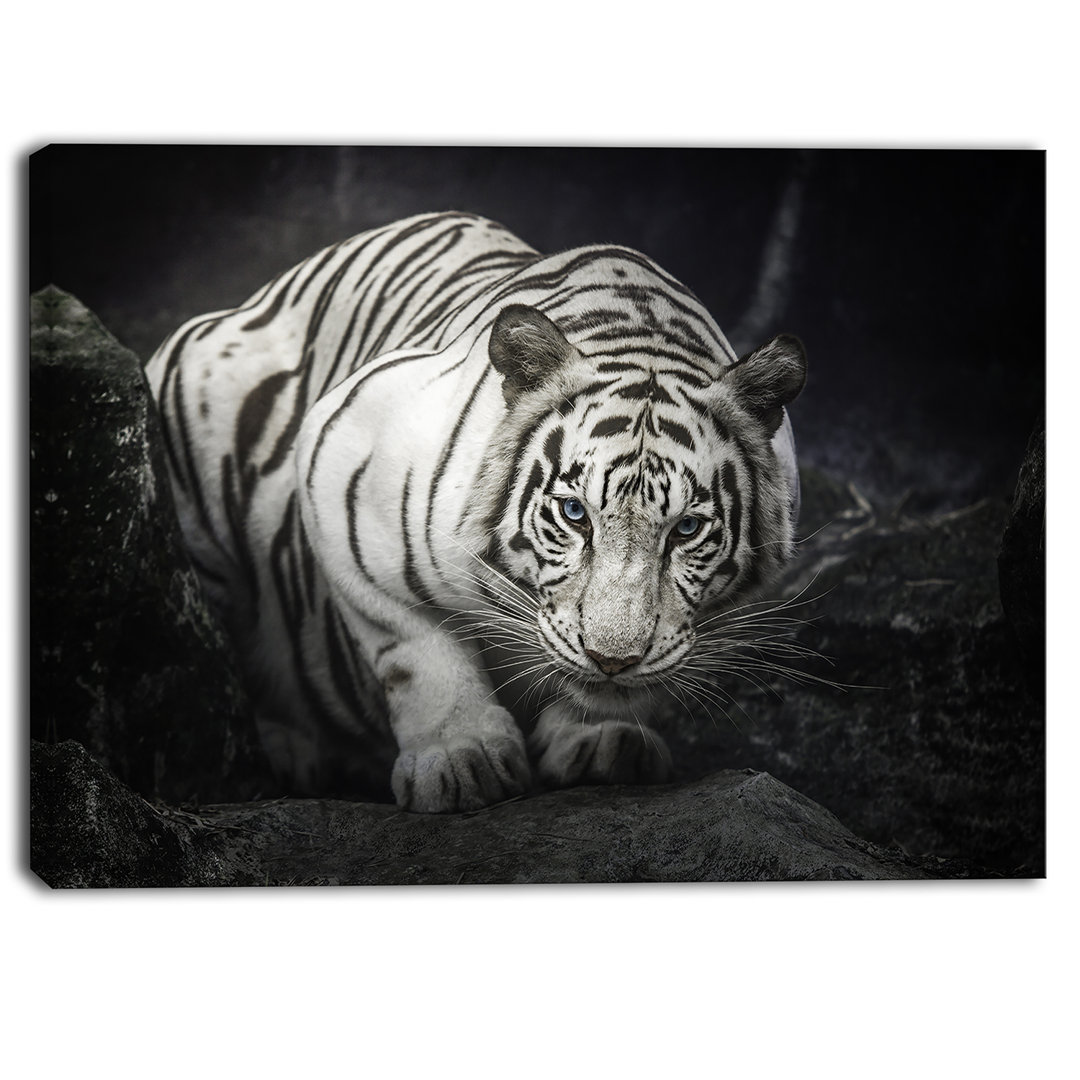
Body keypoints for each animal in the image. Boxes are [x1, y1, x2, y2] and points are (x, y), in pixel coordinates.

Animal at [146, 211, 806, 814]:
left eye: (687, 528)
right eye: (574, 514)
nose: (612, 660)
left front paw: (607, 739)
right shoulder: (340, 467)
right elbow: (414, 646)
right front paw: (461, 760)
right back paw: (287, 751)